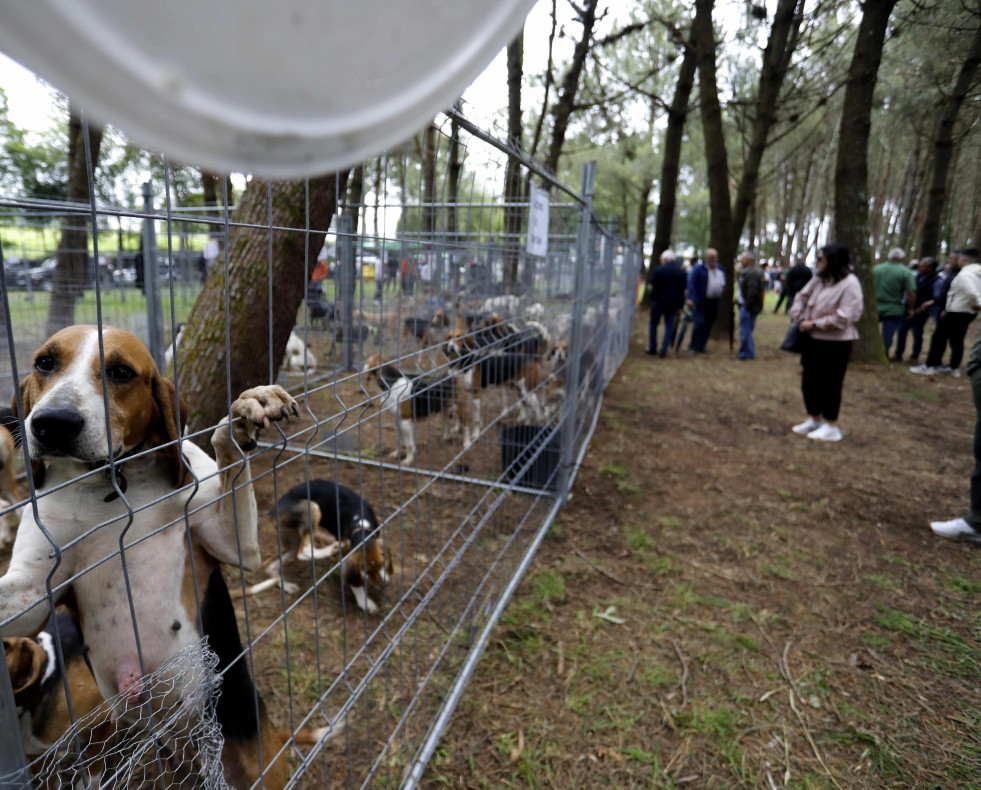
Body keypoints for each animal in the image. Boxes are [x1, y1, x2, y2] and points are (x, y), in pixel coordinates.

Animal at [0, 324, 298, 788]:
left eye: (121, 371)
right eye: (45, 362)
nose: (52, 423)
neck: (107, 484)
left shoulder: (234, 546)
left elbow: (224, 446)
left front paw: (248, 410)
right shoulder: (33, 594)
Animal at [243, 480, 392, 616]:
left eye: (383, 563)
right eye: (366, 569)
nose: (385, 583)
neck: (360, 525)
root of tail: (275, 509)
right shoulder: (347, 551)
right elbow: (356, 583)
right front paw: (365, 603)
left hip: (292, 541)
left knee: (270, 564)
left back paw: (286, 586)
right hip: (313, 507)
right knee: (304, 551)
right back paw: (331, 548)